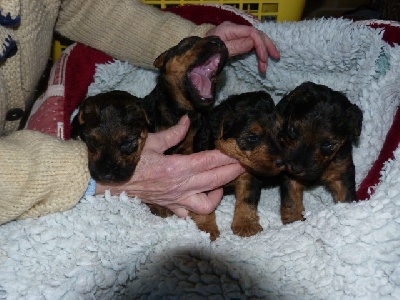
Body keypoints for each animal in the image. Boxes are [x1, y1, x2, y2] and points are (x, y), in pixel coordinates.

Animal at [206, 90, 284, 238]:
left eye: (279, 134)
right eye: (252, 137)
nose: (282, 162)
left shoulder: (249, 177)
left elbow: (247, 199)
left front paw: (246, 224)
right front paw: (206, 230)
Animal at [278, 81, 362, 224]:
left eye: (327, 144)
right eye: (293, 130)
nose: (296, 168)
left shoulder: (341, 171)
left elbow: (345, 195)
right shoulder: (289, 175)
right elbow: (291, 199)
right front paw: (294, 221)